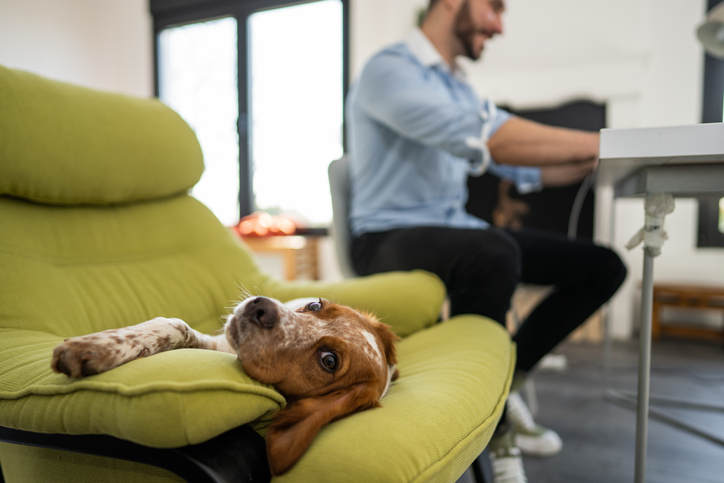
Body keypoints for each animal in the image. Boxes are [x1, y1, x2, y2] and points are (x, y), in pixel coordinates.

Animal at [49, 296, 402, 474]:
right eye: (316, 306)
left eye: (329, 360)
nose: (262, 306)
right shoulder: (211, 340)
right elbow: (175, 325)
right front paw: (98, 345)